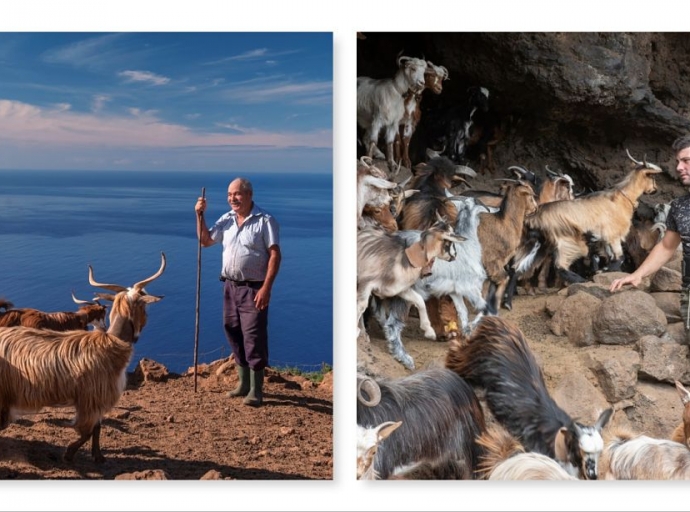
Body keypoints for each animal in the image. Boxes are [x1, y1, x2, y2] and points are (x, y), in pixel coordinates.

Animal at [0, 254, 165, 462]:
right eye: (144, 306)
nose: (142, 326)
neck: (112, 341)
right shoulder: (91, 399)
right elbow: (86, 430)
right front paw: (69, 453)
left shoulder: (96, 401)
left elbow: (97, 428)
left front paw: (98, 456)